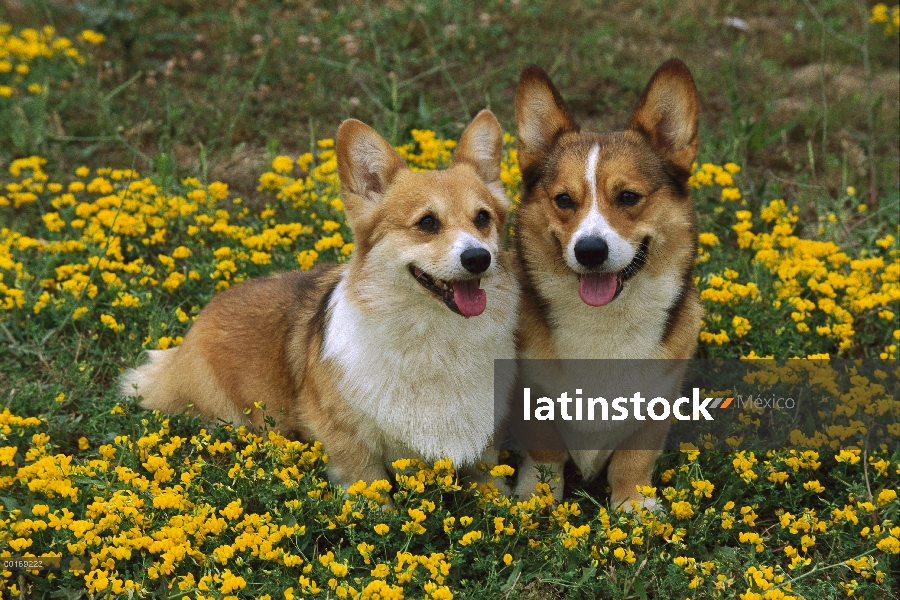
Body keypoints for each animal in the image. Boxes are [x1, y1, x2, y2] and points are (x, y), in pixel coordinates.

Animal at [125, 112, 520, 492]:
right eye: (427, 223)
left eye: (482, 218)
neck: (437, 336)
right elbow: (370, 486)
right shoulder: (346, 439)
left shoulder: (486, 445)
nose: (478, 258)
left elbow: (492, 485)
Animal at [512, 59, 704, 510]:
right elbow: (545, 453)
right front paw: (537, 499)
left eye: (629, 197)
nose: (590, 251)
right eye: (564, 200)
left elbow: (633, 459)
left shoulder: (659, 398)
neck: (605, 323)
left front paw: (633, 506)